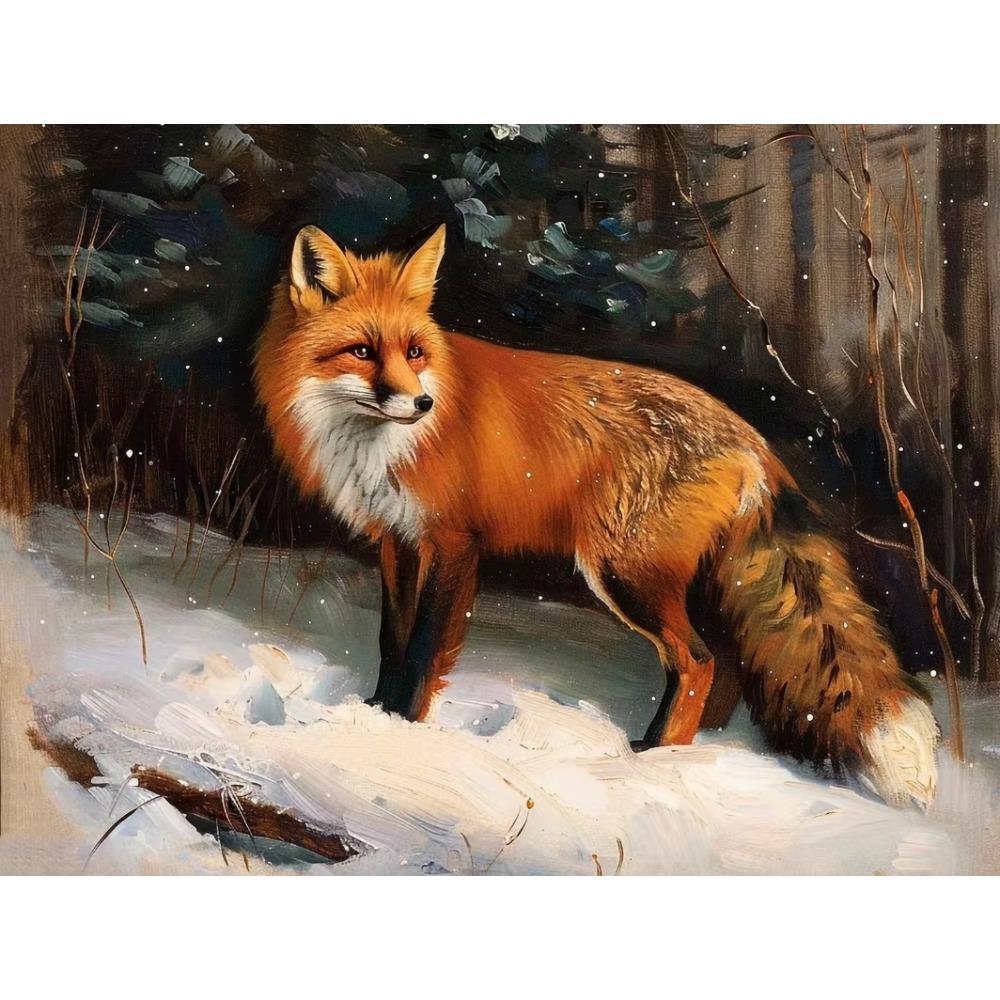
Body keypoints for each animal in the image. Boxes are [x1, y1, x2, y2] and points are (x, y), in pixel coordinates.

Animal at [254, 223, 939, 809]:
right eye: (362, 351)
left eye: (415, 351)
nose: (421, 403)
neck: (376, 447)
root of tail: (753, 438)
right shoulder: (397, 541)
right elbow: (392, 641)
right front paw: (373, 716)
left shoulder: (452, 541)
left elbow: (423, 651)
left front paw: (401, 732)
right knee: (722, 664)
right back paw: (691, 755)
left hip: (624, 572)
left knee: (697, 660)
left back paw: (652, 760)